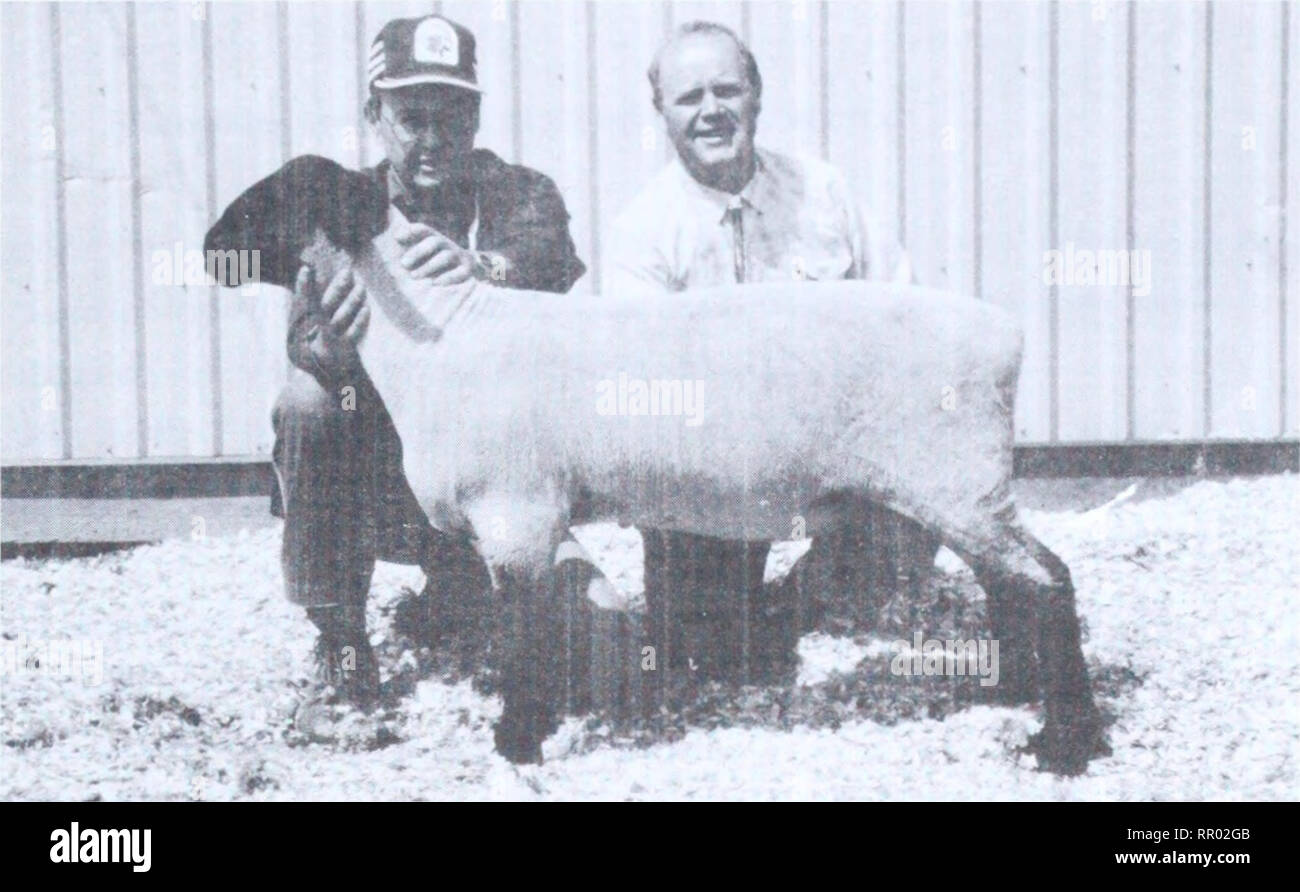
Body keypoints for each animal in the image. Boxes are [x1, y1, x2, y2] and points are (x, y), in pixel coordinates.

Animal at [206, 155, 1110, 775]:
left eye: (276, 196)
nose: (209, 248)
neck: (445, 337)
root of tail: (1004, 336)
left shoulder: (517, 516)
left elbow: (523, 637)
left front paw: (516, 741)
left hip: (953, 478)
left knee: (1047, 581)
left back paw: (1064, 743)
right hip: (955, 489)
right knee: (1011, 584)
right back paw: (1009, 695)